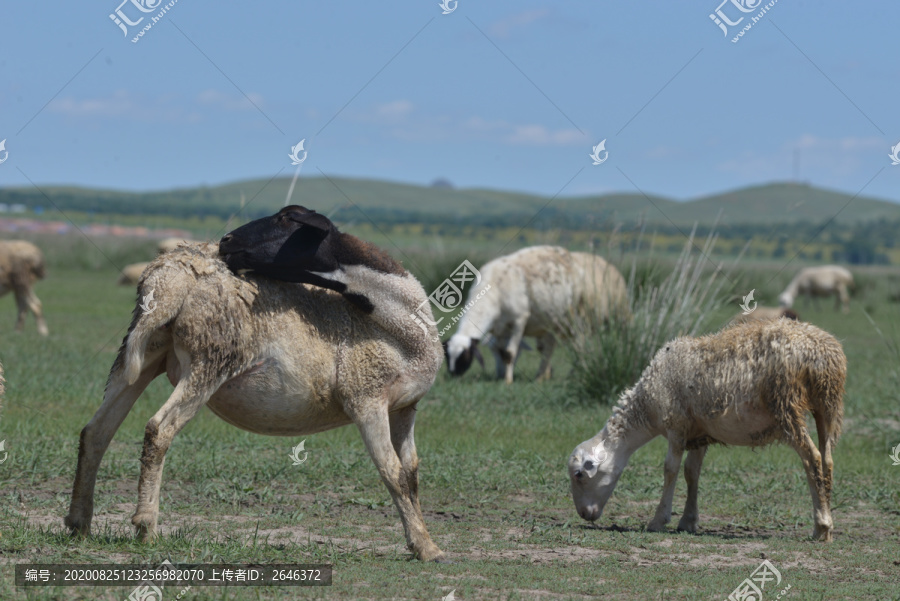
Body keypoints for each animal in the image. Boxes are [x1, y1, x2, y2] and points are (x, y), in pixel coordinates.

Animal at [64, 207, 446, 564]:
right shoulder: (366, 398)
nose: (226, 241)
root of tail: (170, 277)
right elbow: (393, 473)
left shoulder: (405, 408)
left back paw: (78, 523)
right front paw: (426, 548)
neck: (394, 323)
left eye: (286, 218)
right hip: (210, 359)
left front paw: (422, 539)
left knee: (96, 431)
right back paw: (146, 526)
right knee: (159, 428)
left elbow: (411, 472)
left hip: (141, 355)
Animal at [442, 245, 624, 382]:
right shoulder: (500, 328)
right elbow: (505, 352)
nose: (453, 375)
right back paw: (542, 376)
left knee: (580, 348)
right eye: (447, 356)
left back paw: (574, 374)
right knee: (550, 348)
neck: (494, 290)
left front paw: (508, 381)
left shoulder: (519, 320)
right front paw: (504, 375)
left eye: (465, 356)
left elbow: (510, 353)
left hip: (580, 321)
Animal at [568, 322, 848, 540]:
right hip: (827, 406)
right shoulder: (699, 433)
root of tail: (822, 353)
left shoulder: (676, 426)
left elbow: (670, 469)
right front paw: (688, 521)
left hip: (787, 404)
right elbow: (692, 472)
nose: (583, 514)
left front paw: (658, 520)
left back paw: (821, 527)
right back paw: (828, 525)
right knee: (828, 460)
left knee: (812, 458)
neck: (647, 407)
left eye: (579, 475)